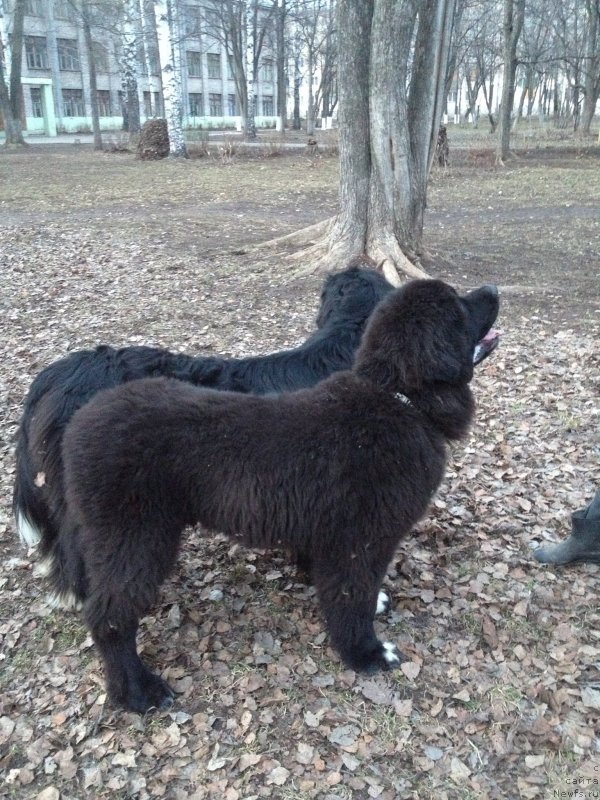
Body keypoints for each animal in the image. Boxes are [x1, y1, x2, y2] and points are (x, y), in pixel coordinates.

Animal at [56, 278, 500, 708]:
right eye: (459, 308)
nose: (493, 290)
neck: (399, 400)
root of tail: (80, 422)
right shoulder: (362, 540)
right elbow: (352, 596)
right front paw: (366, 653)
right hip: (137, 537)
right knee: (109, 617)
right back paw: (138, 692)